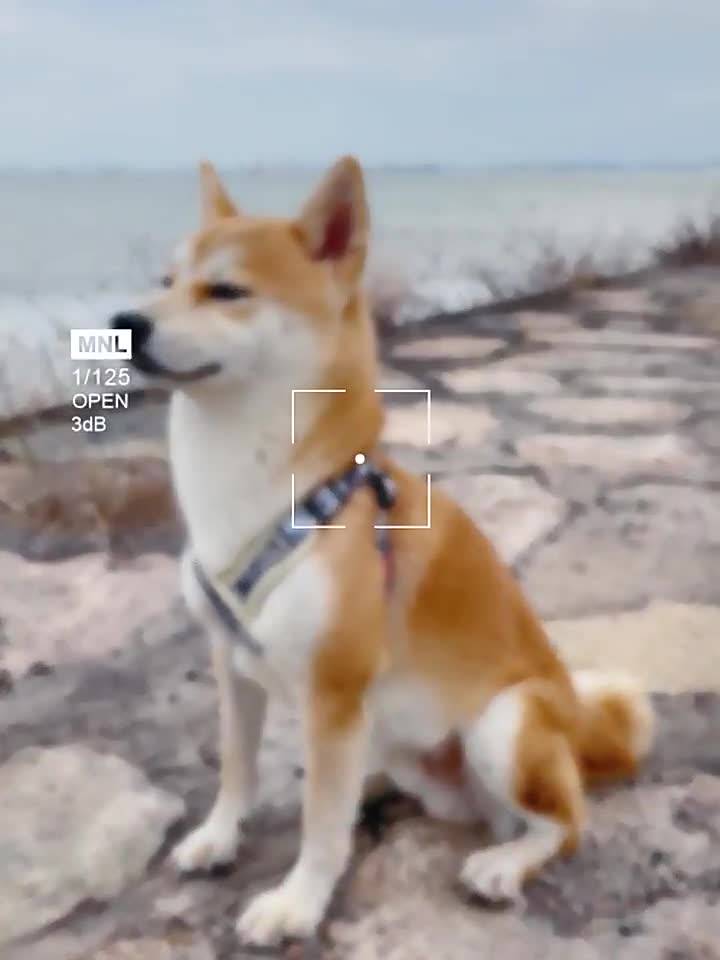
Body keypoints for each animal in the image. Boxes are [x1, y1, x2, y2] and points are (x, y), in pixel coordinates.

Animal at [109, 157, 654, 948]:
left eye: (227, 290)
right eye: (165, 280)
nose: (123, 324)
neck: (268, 494)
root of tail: (579, 733)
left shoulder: (334, 691)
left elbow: (319, 826)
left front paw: (297, 903)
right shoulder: (231, 664)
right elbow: (237, 771)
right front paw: (218, 837)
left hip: (503, 725)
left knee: (564, 823)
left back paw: (502, 864)